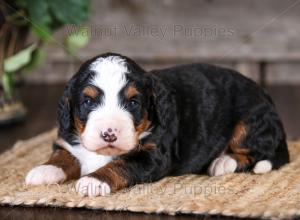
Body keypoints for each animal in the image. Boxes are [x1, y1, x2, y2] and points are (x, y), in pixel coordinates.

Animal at [25, 52, 288, 196]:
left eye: (133, 102)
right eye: (88, 101)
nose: (109, 133)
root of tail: (265, 96)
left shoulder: (154, 156)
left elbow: (121, 164)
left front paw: (94, 181)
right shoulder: (66, 140)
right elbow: (63, 155)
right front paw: (45, 170)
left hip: (249, 123)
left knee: (258, 153)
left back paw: (223, 162)